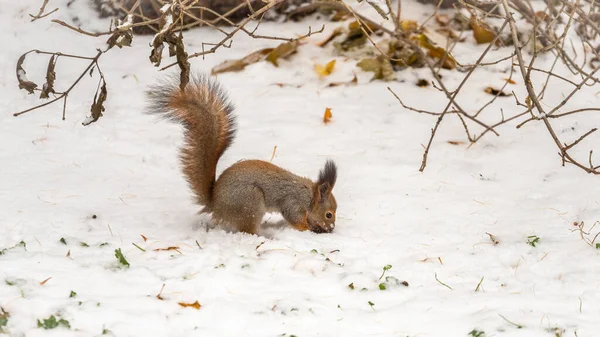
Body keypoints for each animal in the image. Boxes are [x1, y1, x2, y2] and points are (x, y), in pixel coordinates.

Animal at [143, 74, 336, 234]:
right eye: (328, 214)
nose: (332, 228)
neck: (310, 197)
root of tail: (215, 206)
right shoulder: (293, 202)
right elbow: (294, 218)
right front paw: (308, 228)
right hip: (250, 202)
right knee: (247, 230)